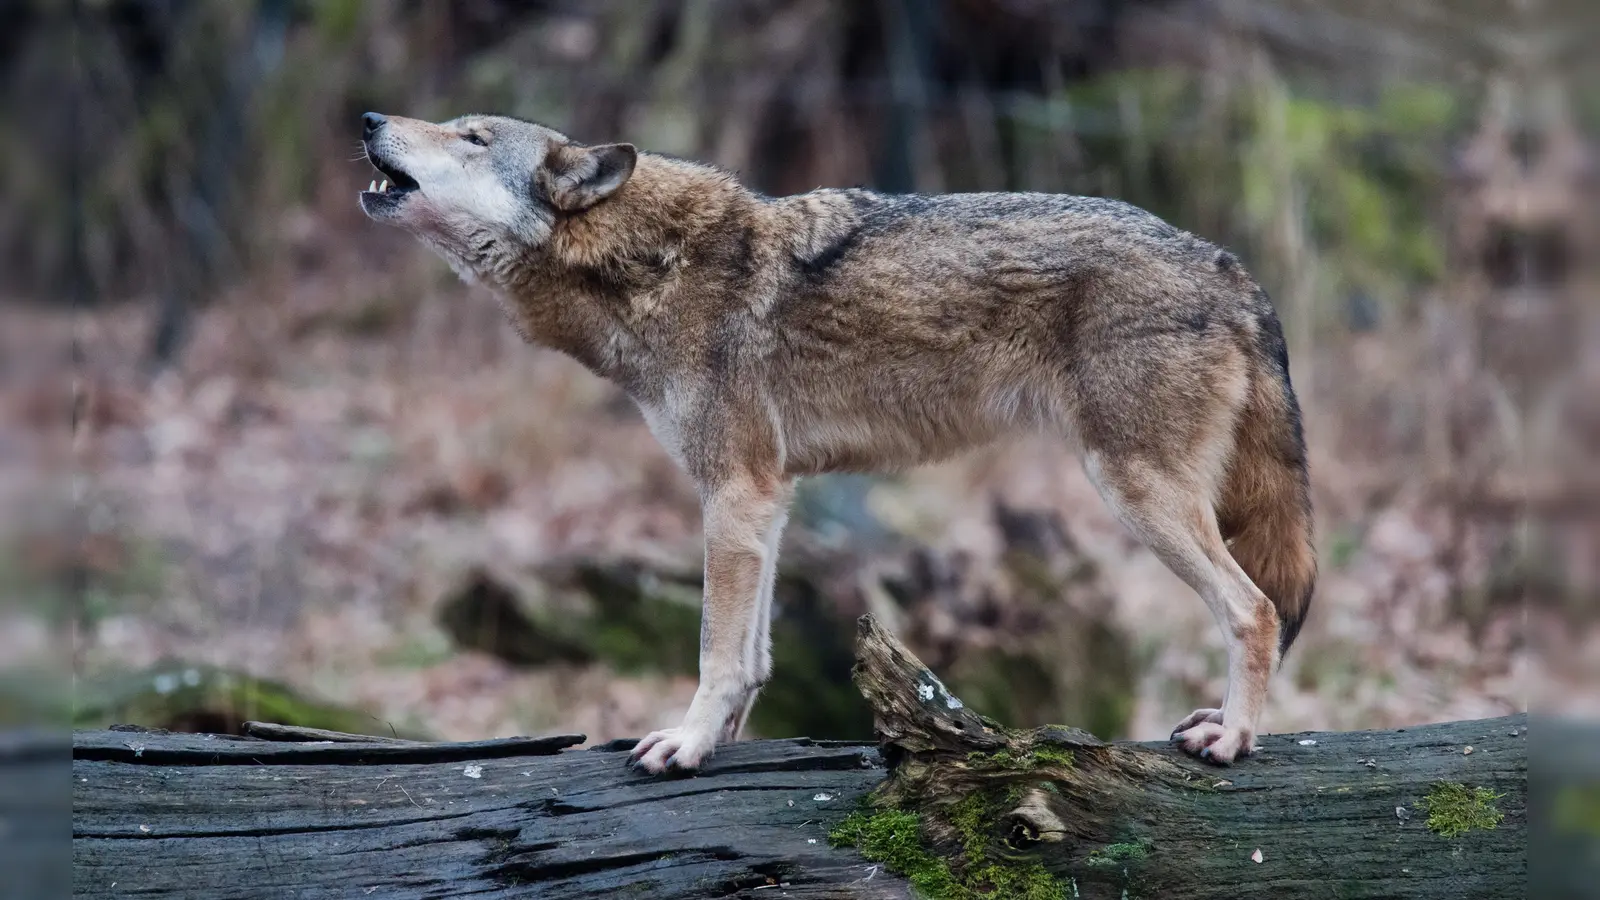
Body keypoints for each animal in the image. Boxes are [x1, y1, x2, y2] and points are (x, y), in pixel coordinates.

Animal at [357, 111, 1316, 774]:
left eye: (472, 137)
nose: (368, 120)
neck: (649, 265)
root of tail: (1228, 264)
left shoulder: (734, 493)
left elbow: (715, 650)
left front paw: (688, 745)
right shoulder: (767, 498)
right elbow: (752, 657)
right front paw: (725, 744)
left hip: (1136, 492)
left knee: (1256, 610)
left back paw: (1234, 738)